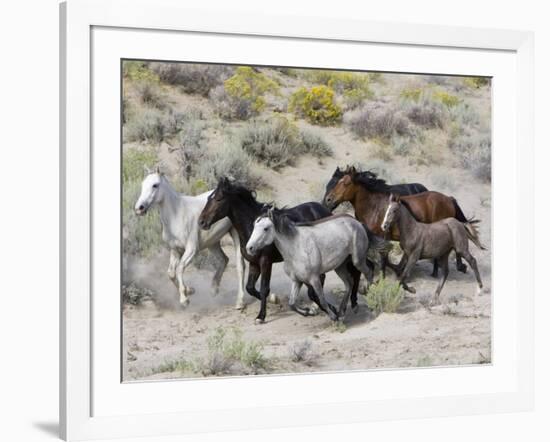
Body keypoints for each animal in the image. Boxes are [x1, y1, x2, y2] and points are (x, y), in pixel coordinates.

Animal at [134, 167, 246, 310]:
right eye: (142, 184)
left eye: (155, 185)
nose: (139, 208)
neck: (177, 216)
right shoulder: (175, 250)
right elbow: (171, 273)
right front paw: (189, 290)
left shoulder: (192, 249)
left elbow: (180, 268)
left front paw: (184, 300)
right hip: (213, 242)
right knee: (224, 259)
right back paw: (214, 289)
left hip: (236, 235)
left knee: (240, 266)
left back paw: (240, 302)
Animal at [197, 178, 362, 322]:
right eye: (208, 198)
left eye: (218, 199)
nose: (201, 222)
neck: (250, 228)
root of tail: (323, 209)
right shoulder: (254, 263)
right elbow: (250, 287)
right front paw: (275, 301)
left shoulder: (266, 262)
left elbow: (264, 288)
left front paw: (261, 316)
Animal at [326, 167, 476, 276]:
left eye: (345, 183)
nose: (328, 199)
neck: (374, 207)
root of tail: (449, 199)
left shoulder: (382, 238)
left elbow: (383, 260)